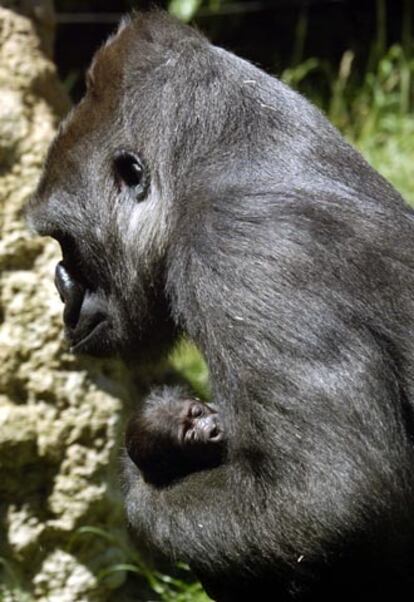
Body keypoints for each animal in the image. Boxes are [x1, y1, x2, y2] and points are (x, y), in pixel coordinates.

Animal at [27, 9, 414, 600]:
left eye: (66, 241)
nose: (62, 291)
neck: (211, 162)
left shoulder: (243, 248)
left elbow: (330, 499)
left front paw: (143, 493)